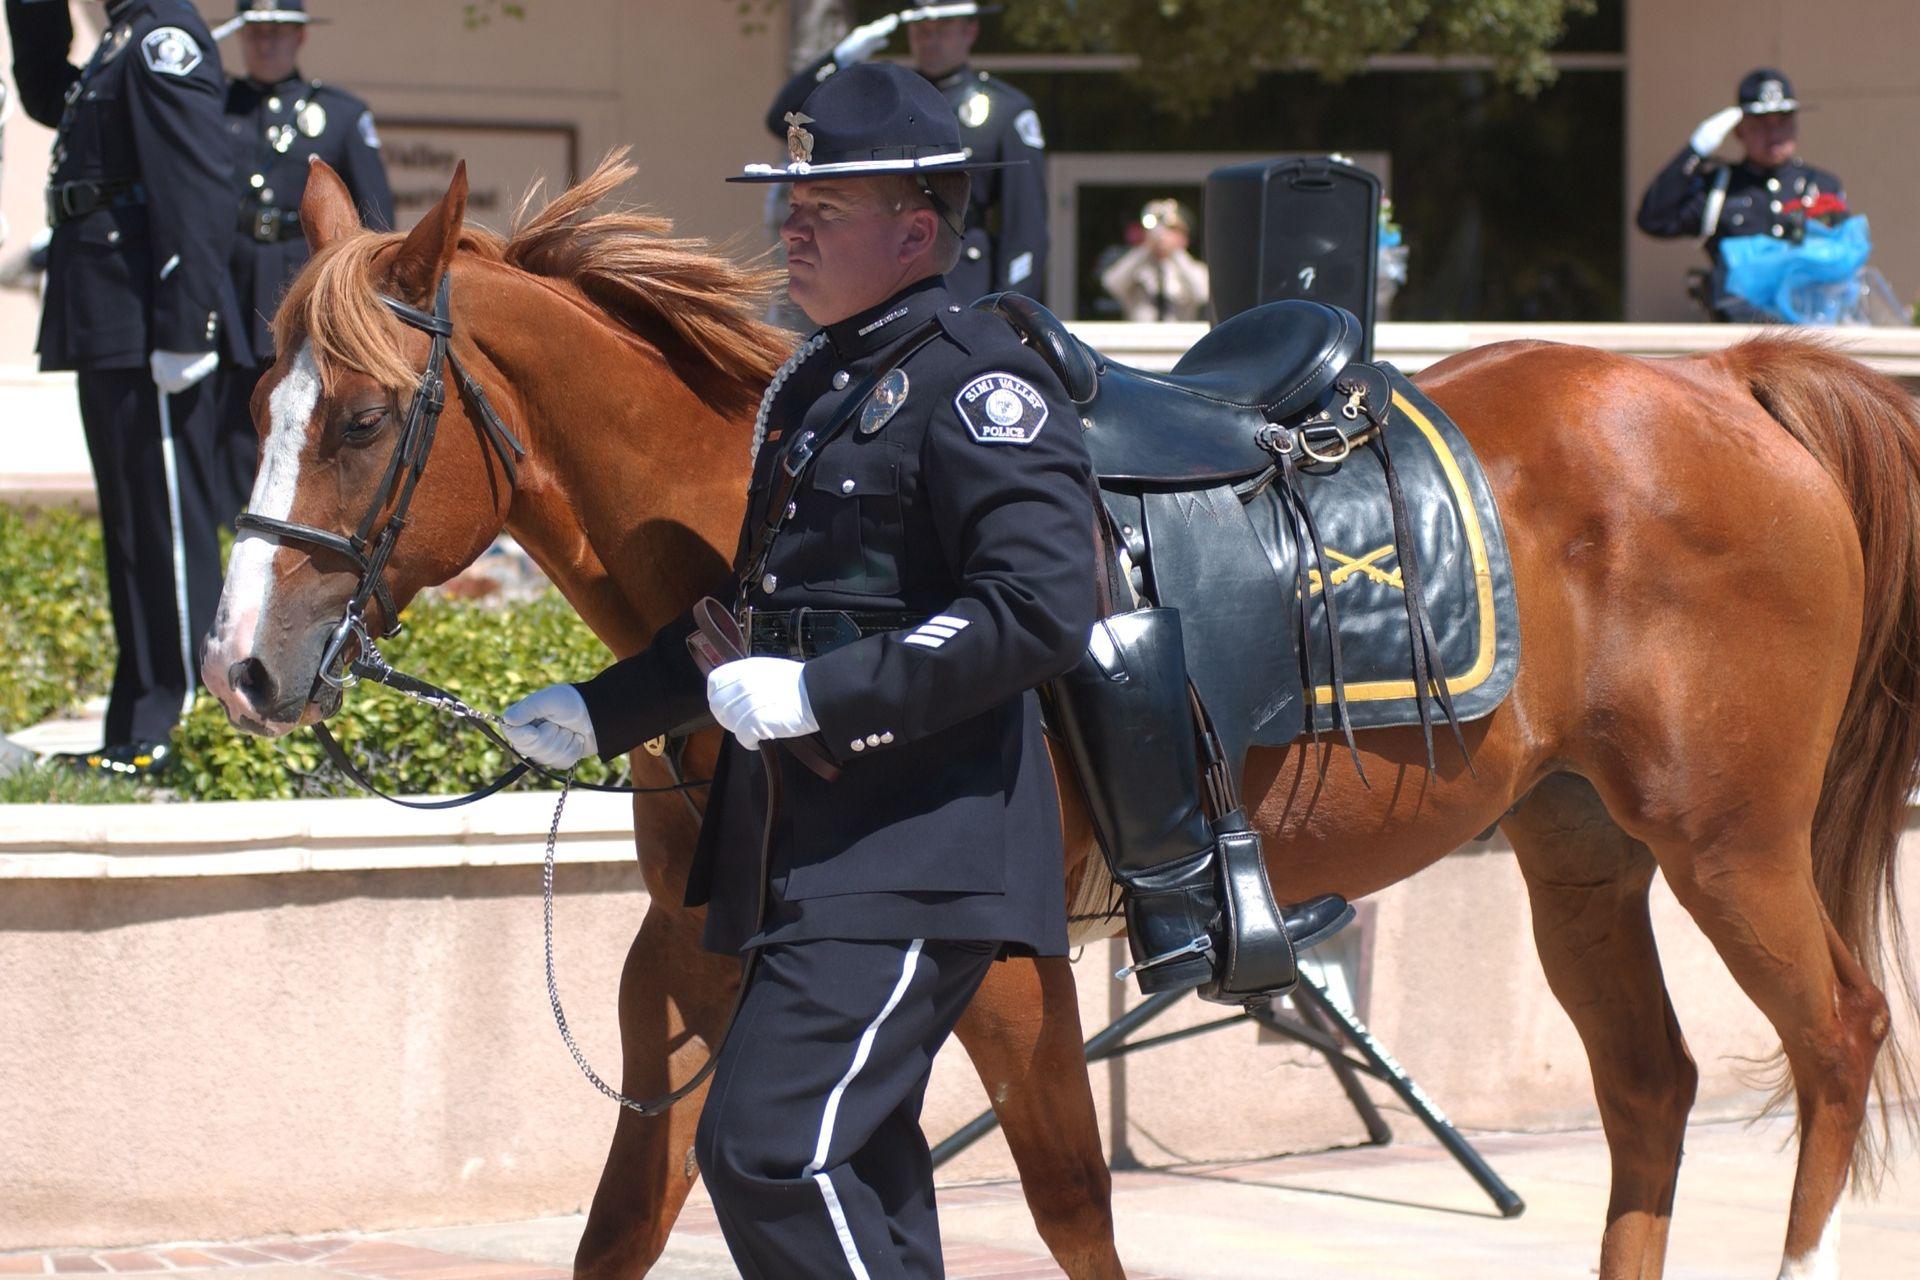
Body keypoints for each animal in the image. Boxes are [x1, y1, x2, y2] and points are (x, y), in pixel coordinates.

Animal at [200, 154, 1919, 1280]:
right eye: (255, 402)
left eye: (364, 417)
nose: (242, 667)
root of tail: (1729, 383)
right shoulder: (690, 976)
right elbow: (628, 1221)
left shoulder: (1001, 972)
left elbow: (1073, 1213)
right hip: (1579, 851)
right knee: (1652, 1091)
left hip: (1729, 840)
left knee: (1836, 1041)